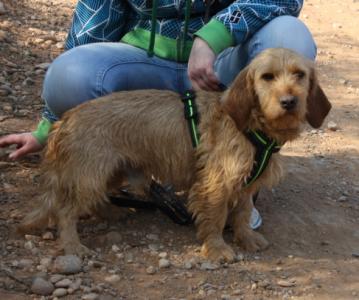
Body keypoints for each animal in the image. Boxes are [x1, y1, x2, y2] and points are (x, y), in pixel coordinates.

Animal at [17, 48, 332, 262]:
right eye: (267, 77)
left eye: (299, 75)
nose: (289, 101)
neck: (250, 125)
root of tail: (64, 121)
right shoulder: (216, 183)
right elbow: (215, 218)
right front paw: (217, 248)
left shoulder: (246, 184)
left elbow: (242, 214)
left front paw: (246, 238)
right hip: (90, 174)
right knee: (65, 211)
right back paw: (73, 246)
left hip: (111, 170)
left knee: (94, 201)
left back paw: (112, 212)